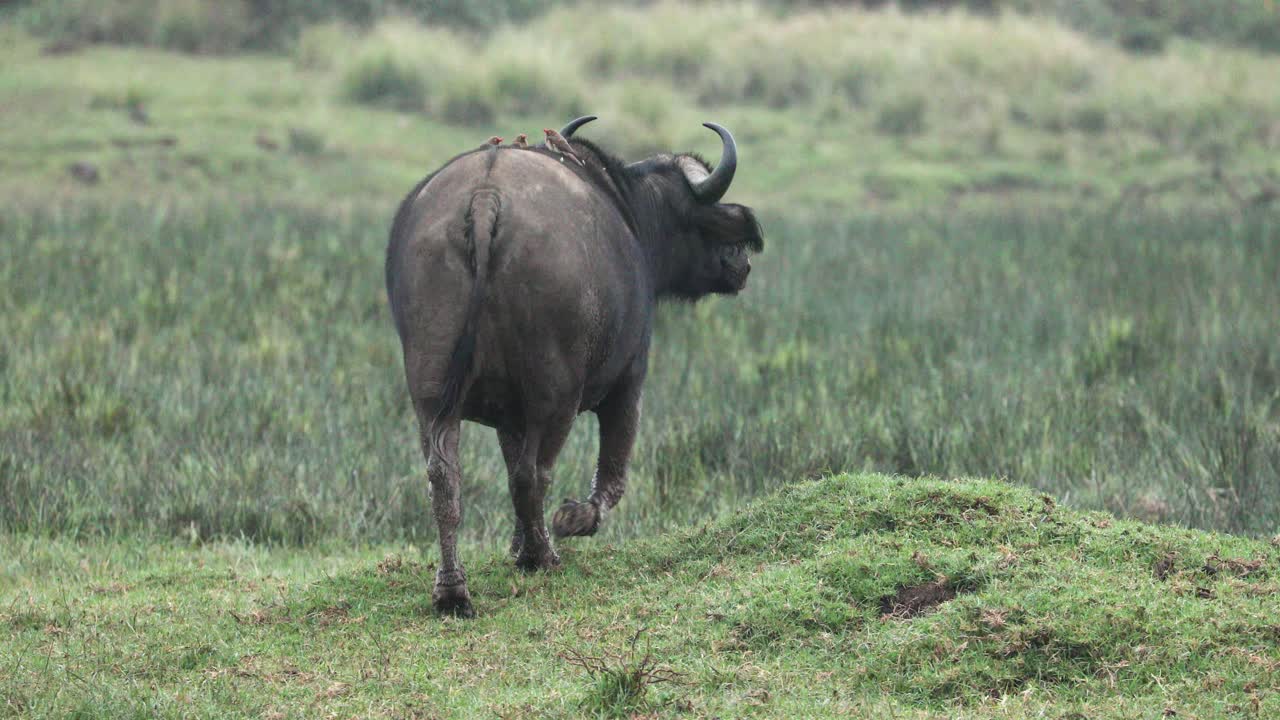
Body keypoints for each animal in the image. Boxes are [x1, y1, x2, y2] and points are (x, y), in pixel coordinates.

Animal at [385, 116, 763, 616]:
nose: (742, 265)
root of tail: (485, 198)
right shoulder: (629, 382)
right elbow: (612, 477)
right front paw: (569, 522)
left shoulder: (509, 417)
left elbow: (508, 465)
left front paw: (517, 543)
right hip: (556, 393)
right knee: (533, 475)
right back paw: (543, 555)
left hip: (431, 393)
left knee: (445, 480)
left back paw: (453, 590)